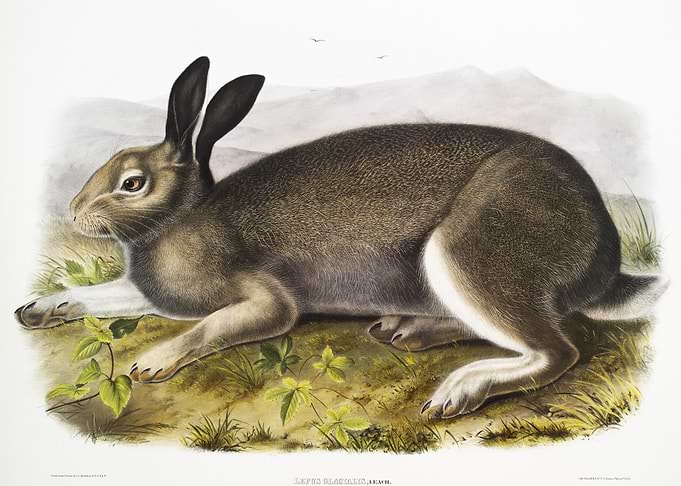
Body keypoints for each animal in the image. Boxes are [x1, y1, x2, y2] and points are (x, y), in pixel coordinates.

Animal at [15, 57, 669, 418]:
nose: (73, 212)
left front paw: (152, 363)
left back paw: (457, 388)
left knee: (556, 350)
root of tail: (604, 261)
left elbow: (217, 325)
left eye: (132, 182)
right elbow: (101, 296)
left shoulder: (265, 300)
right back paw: (406, 330)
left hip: (466, 253)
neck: (184, 216)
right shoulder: (143, 292)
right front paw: (37, 310)